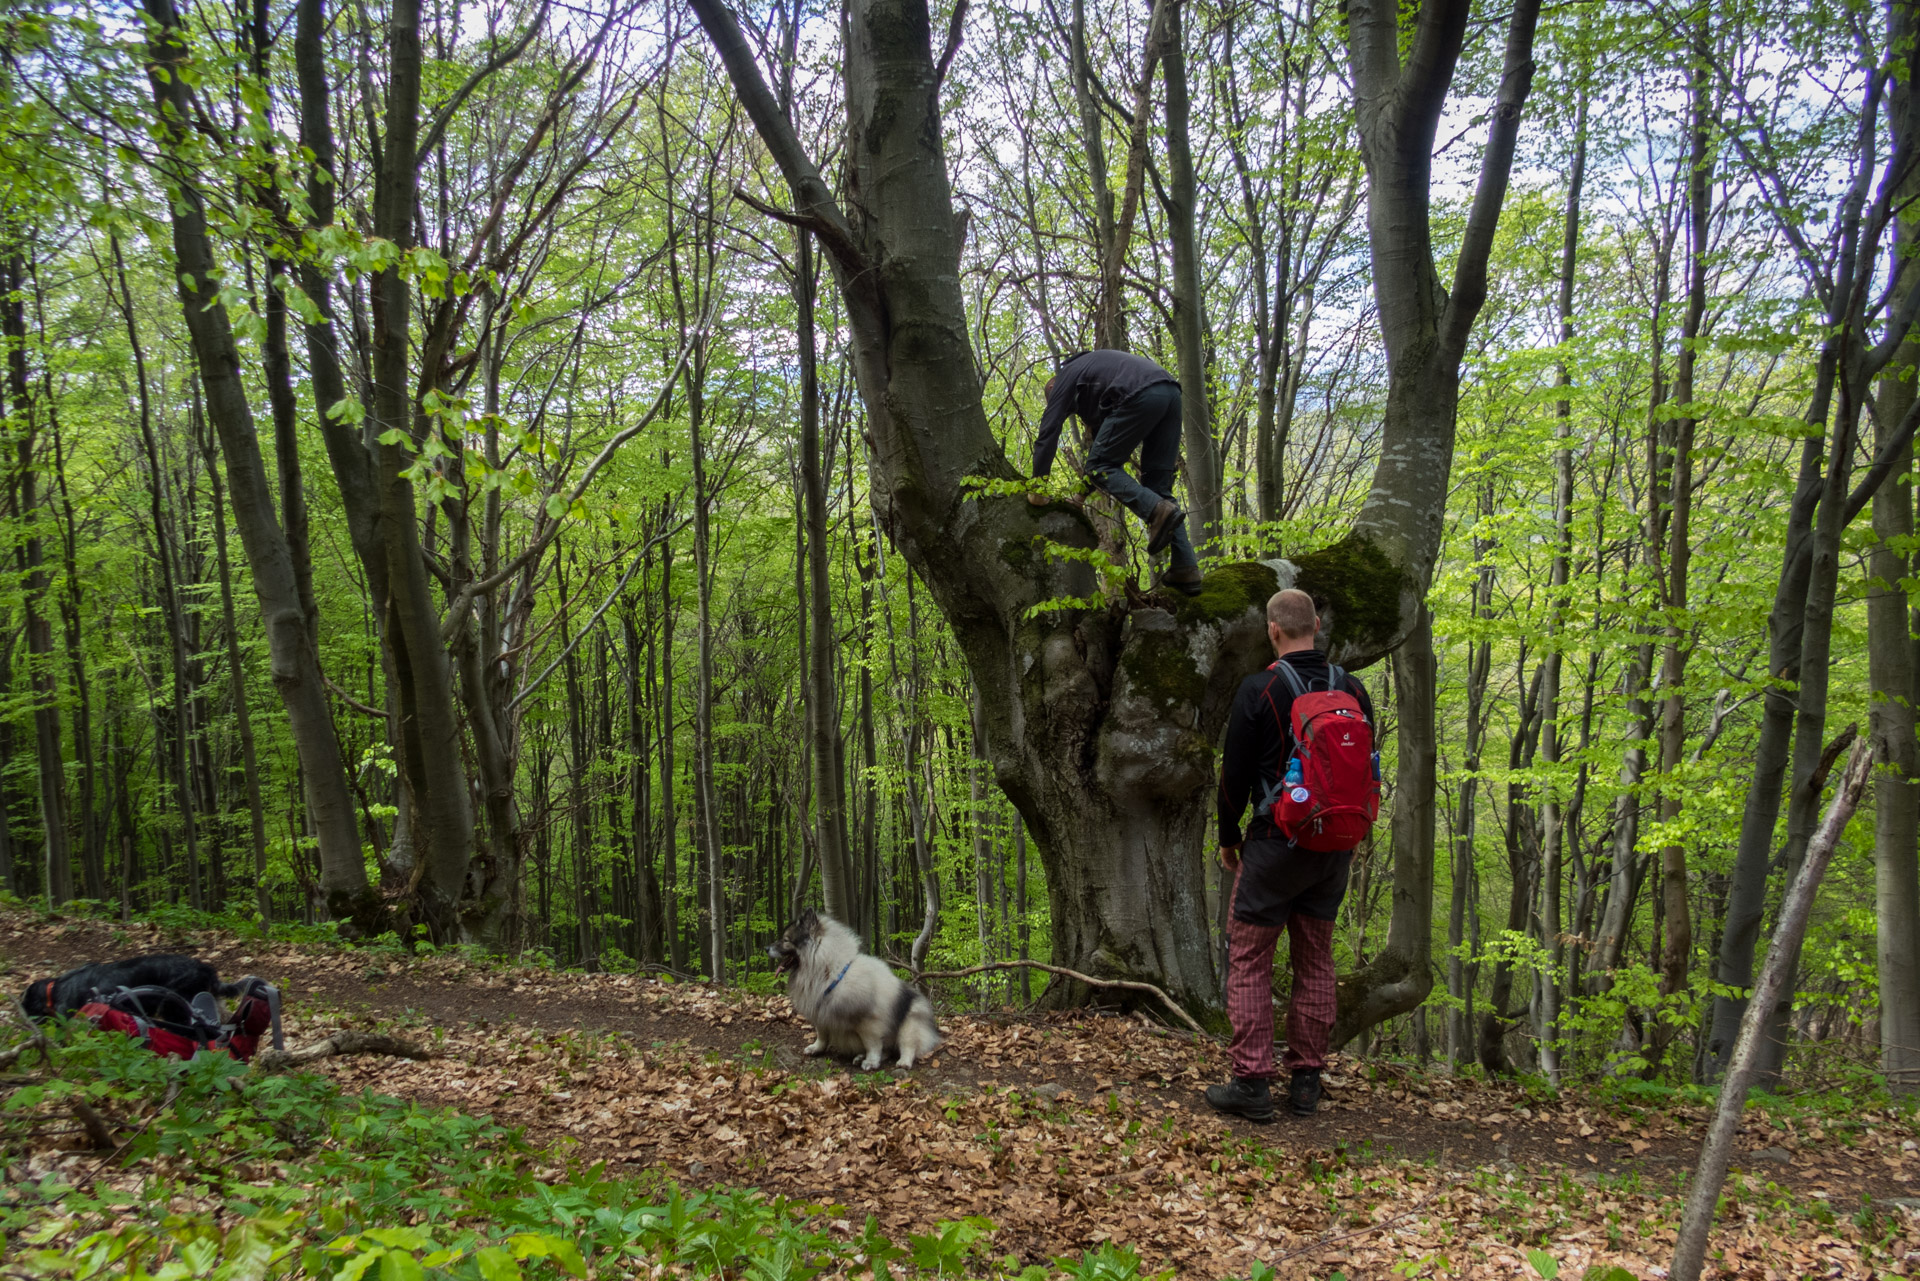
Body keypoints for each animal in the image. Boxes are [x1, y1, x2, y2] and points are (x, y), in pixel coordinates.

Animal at [764, 910, 944, 1075]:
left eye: (786, 940)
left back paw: (903, 1062)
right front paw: (817, 1048)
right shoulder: (821, 1014)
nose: (766, 948)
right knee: (887, 1050)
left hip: (910, 1024)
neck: (830, 972)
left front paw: (871, 1062)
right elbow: (822, 1035)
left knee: (907, 1047)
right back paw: (859, 1057)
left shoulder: (868, 1022)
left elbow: (873, 1045)